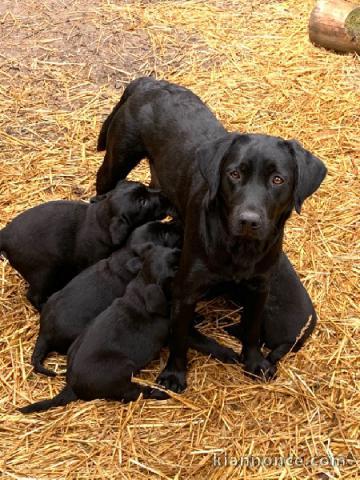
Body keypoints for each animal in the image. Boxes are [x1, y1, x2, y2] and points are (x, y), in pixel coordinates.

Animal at [0, 178, 170, 310]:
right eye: (143, 202)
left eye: (145, 187)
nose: (164, 195)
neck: (103, 219)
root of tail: (5, 235)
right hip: (43, 272)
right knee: (33, 295)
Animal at [95, 76, 326, 390]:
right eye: (234, 174)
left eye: (278, 180)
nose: (248, 220)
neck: (238, 248)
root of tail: (150, 82)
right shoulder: (185, 291)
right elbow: (179, 338)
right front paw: (174, 375)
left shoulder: (260, 287)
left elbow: (252, 331)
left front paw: (254, 362)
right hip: (119, 157)